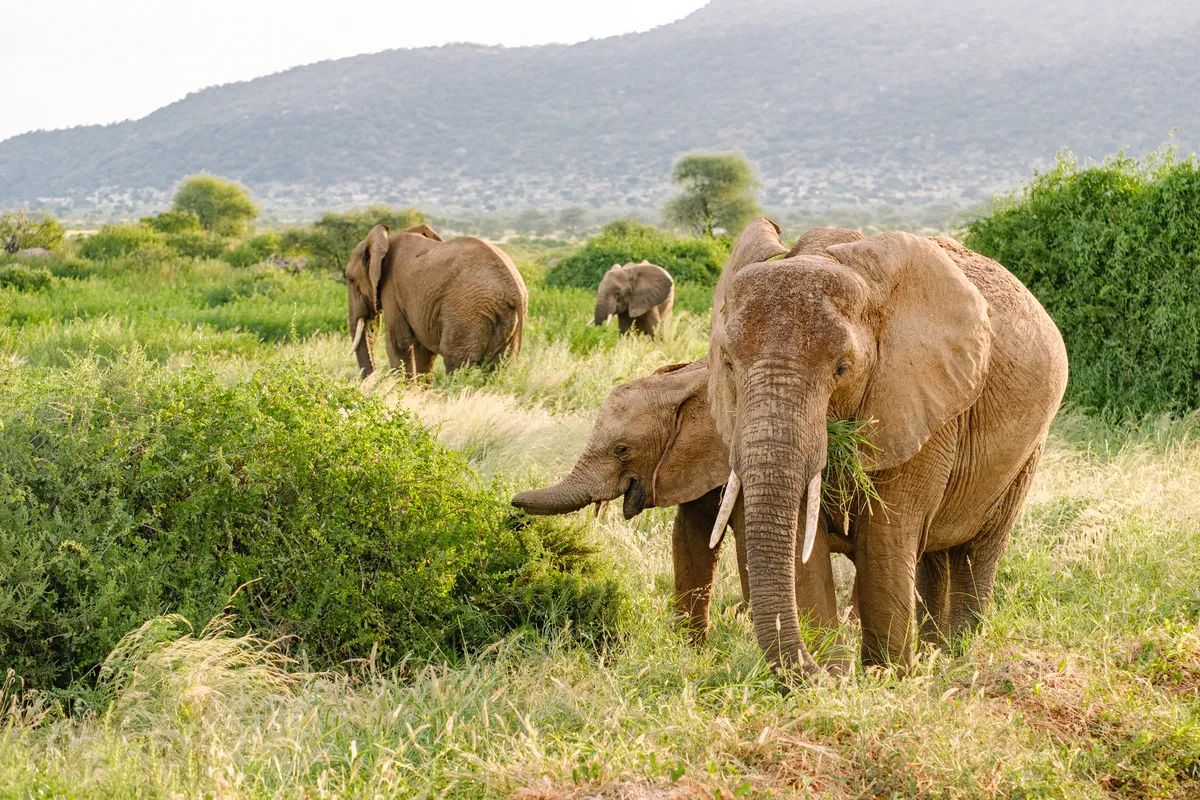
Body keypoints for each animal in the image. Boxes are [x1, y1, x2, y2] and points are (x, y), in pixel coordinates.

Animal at [340, 221, 523, 379]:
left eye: (351, 280)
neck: (385, 240)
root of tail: (515, 289)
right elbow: (423, 350)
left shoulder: (391, 288)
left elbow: (398, 344)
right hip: (502, 317)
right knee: (497, 367)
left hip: (467, 312)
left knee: (456, 361)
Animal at [705, 219, 1065, 676]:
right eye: (728, 363)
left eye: (842, 368)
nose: (814, 672)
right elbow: (808, 542)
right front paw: (836, 677)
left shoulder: (923, 404)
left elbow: (886, 534)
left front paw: (885, 676)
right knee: (932, 554)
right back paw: (932, 651)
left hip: (1028, 450)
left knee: (976, 550)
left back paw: (956, 655)